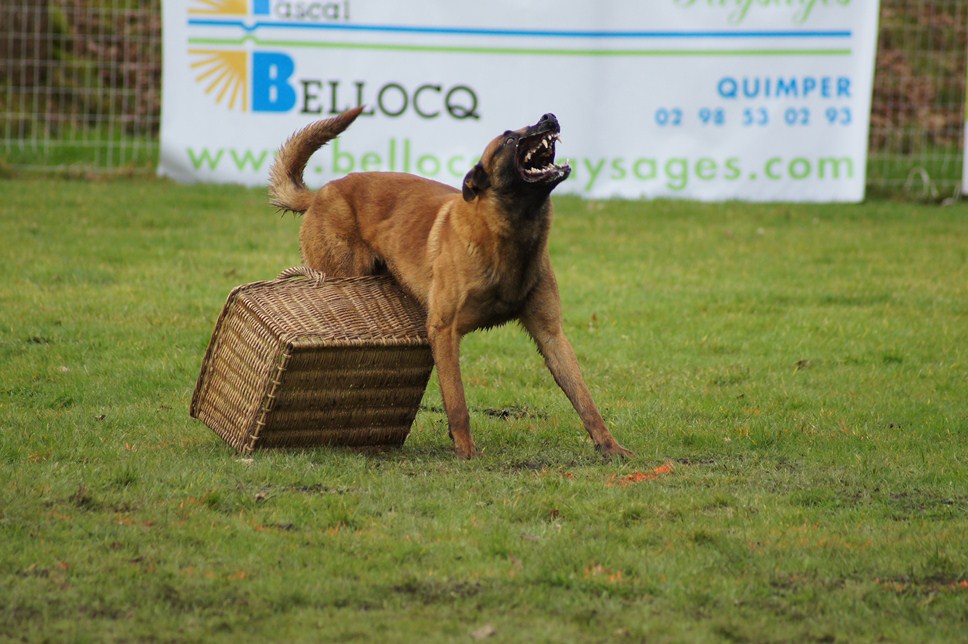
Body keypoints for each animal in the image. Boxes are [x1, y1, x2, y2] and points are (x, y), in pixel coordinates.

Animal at [268, 107, 632, 458]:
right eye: (509, 138)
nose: (549, 117)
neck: (509, 235)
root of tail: (320, 194)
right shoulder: (444, 329)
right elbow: (457, 401)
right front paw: (466, 452)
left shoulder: (551, 334)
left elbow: (584, 398)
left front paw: (610, 447)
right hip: (345, 276)